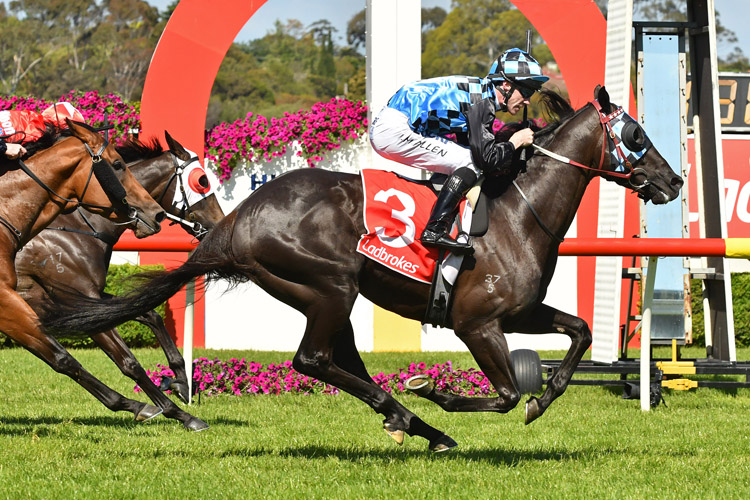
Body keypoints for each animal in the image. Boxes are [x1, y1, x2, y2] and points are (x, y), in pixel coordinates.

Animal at [14, 131, 225, 428]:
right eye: (202, 181)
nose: (219, 225)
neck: (77, 226)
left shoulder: (90, 297)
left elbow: (149, 314)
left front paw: (181, 382)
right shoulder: (73, 303)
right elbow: (129, 362)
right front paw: (180, 414)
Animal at [42, 88, 688, 452]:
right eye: (636, 133)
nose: (674, 180)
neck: (517, 211)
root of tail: (239, 220)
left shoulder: (520, 311)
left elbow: (578, 332)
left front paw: (546, 396)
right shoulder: (477, 322)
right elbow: (505, 393)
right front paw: (437, 389)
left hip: (322, 294)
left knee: (339, 360)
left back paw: (413, 423)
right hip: (331, 284)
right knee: (313, 360)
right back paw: (414, 414)